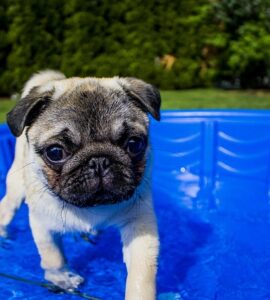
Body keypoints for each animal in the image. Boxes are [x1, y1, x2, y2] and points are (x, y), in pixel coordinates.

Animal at [0, 71, 160, 300]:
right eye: (55, 152)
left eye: (134, 144)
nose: (99, 161)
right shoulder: (42, 223)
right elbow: (53, 256)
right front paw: (61, 277)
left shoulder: (139, 223)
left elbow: (142, 273)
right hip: (16, 188)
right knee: (7, 208)